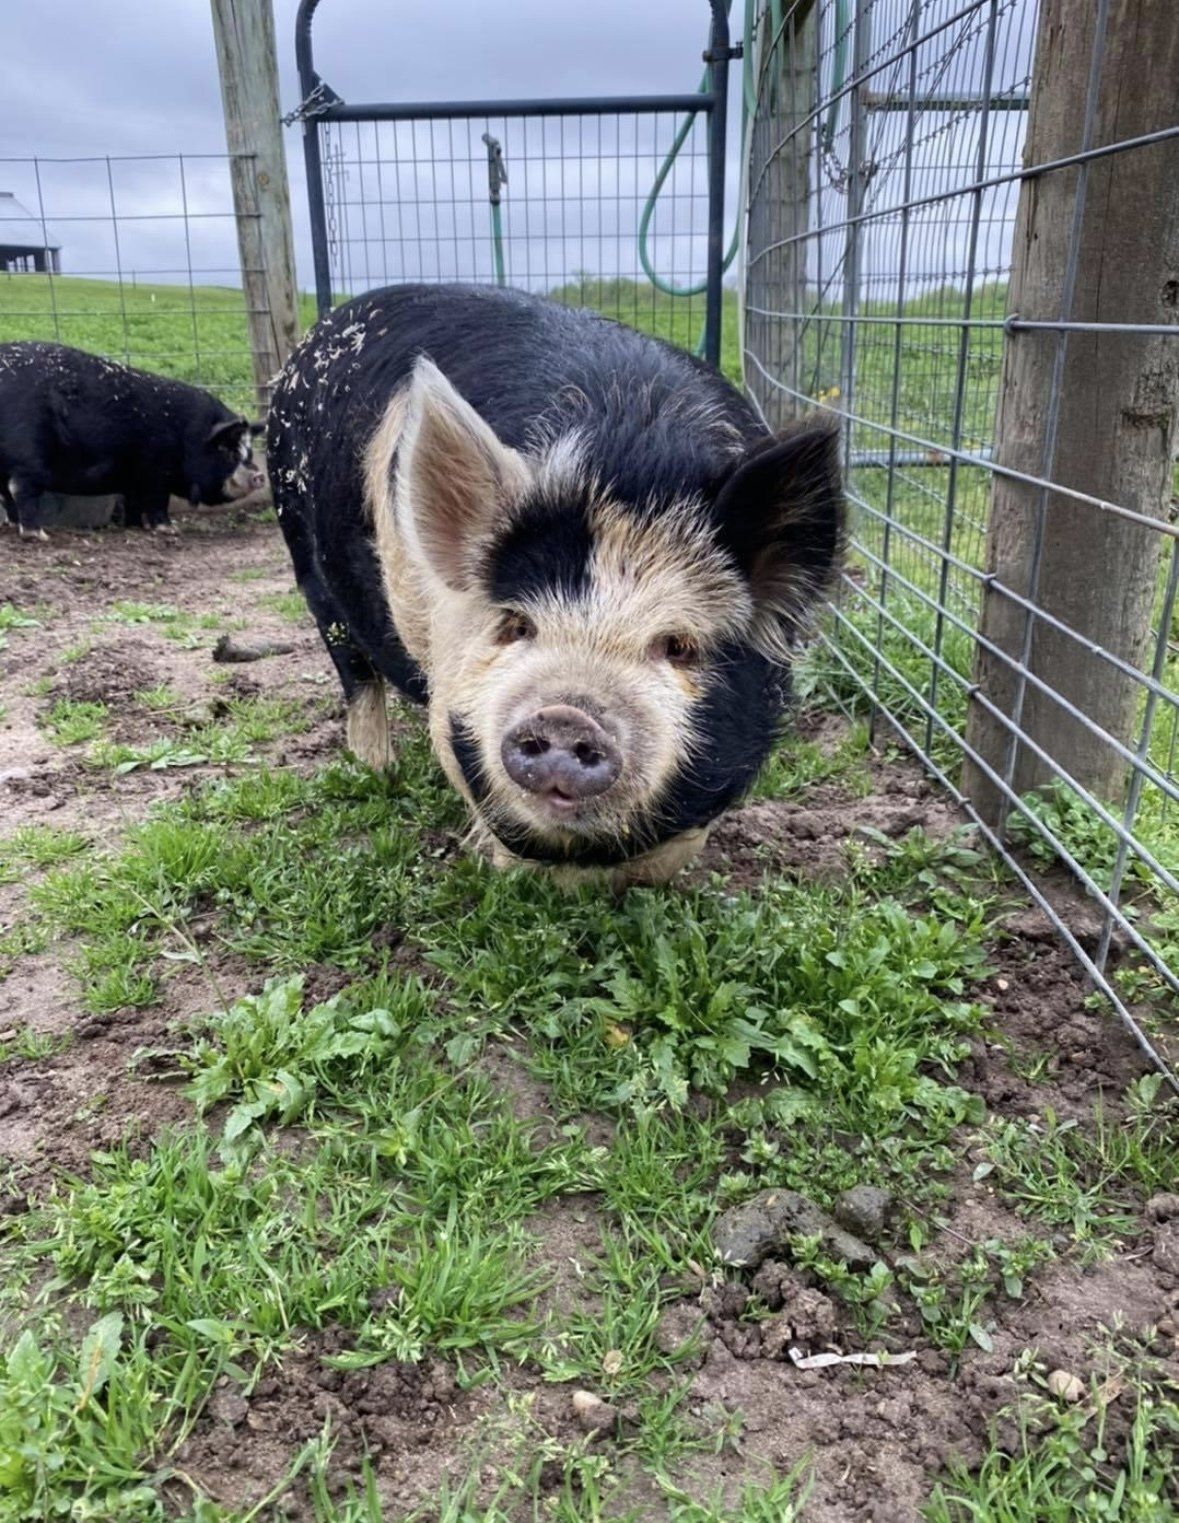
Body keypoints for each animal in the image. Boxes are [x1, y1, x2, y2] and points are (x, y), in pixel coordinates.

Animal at [0, 342, 265, 539]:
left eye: (249, 452)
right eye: (228, 450)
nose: (259, 474)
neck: (188, 435)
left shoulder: (133, 477)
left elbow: (134, 502)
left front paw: (135, 526)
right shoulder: (158, 472)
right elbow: (157, 502)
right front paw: (169, 529)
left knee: (6, 492)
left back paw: (12, 525)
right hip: (29, 457)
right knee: (20, 489)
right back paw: (37, 534)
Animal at [268, 283, 844, 885]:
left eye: (677, 645)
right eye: (515, 625)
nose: (567, 714)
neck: (625, 461)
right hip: (301, 550)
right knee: (353, 668)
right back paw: (379, 770)